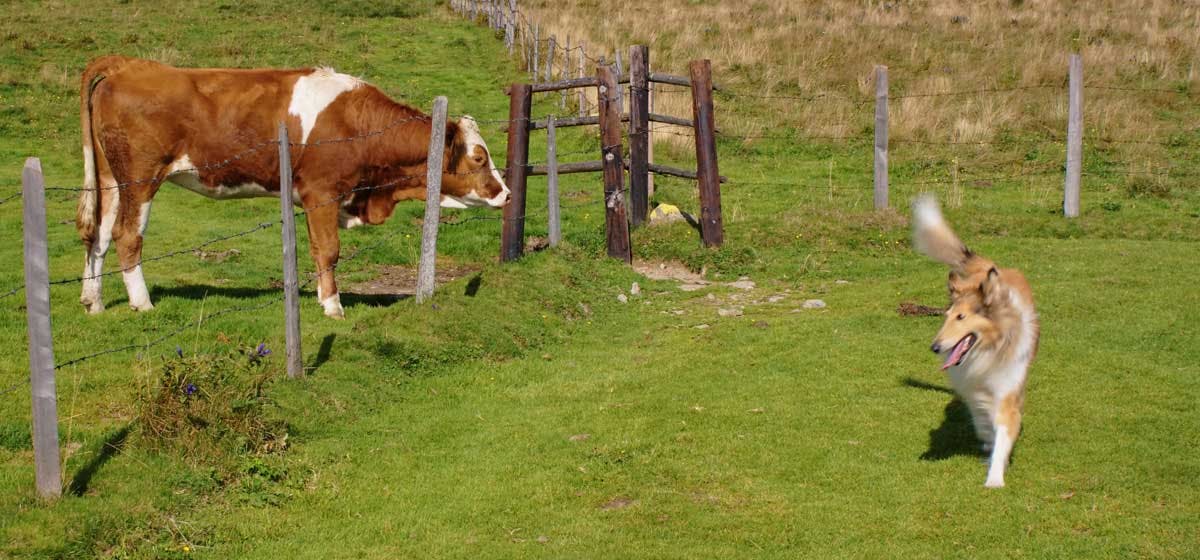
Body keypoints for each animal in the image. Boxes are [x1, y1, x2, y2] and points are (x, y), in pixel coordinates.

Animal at [75, 58, 506, 318]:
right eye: (478, 157)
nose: (505, 192)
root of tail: (128, 65)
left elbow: (316, 249)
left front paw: (320, 297)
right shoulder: (322, 192)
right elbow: (329, 250)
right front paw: (333, 307)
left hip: (110, 180)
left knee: (98, 236)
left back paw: (93, 301)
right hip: (140, 179)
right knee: (127, 236)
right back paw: (143, 303)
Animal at [912, 195, 1036, 489]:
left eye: (961, 317)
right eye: (946, 316)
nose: (935, 347)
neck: (987, 354)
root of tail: (991, 269)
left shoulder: (1007, 390)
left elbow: (1003, 432)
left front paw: (995, 477)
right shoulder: (971, 388)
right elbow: (982, 421)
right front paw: (987, 445)